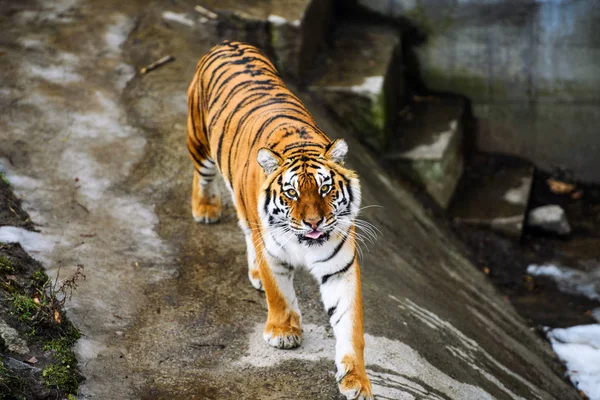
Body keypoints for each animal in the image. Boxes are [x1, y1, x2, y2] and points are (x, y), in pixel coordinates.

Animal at [188, 39, 372, 396]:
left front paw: (356, 381)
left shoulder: (340, 267)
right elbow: (279, 292)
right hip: (199, 142)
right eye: (292, 193)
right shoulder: (270, 249)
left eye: (325, 189)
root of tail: (228, 42)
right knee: (202, 176)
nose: (314, 223)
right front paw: (284, 332)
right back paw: (205, 209)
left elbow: (349, 324)